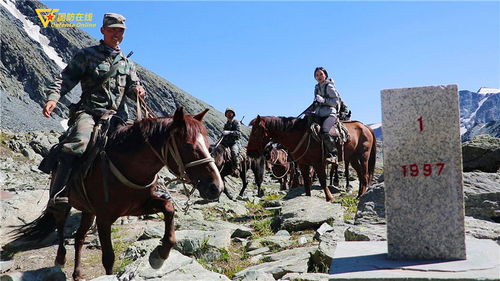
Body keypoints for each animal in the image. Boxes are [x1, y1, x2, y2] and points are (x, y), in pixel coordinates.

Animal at [11, 107, 223, 280]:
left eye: (209, 146)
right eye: (188, 145)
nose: (217, 187)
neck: (128, 165)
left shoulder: (138, 207)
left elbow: (169, 208)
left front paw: (160, 255)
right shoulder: (104, 218)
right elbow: (108, 257)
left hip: (88, 211)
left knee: (79, 238)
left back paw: (77, 274)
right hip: (65, 201)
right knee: (61, 224)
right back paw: (60, 258)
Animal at [246, 115, 376, 200]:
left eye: (255, 132)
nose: (249, 152)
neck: (298, 136)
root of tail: (366, 127)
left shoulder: (318, 163)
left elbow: (322, 181)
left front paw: (330, 198)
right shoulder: (303, 164)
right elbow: (307, 184)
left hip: (363, 157)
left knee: (365, 176)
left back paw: (361, 196)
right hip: (353, 159)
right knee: (361, 176)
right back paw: (359, 196)